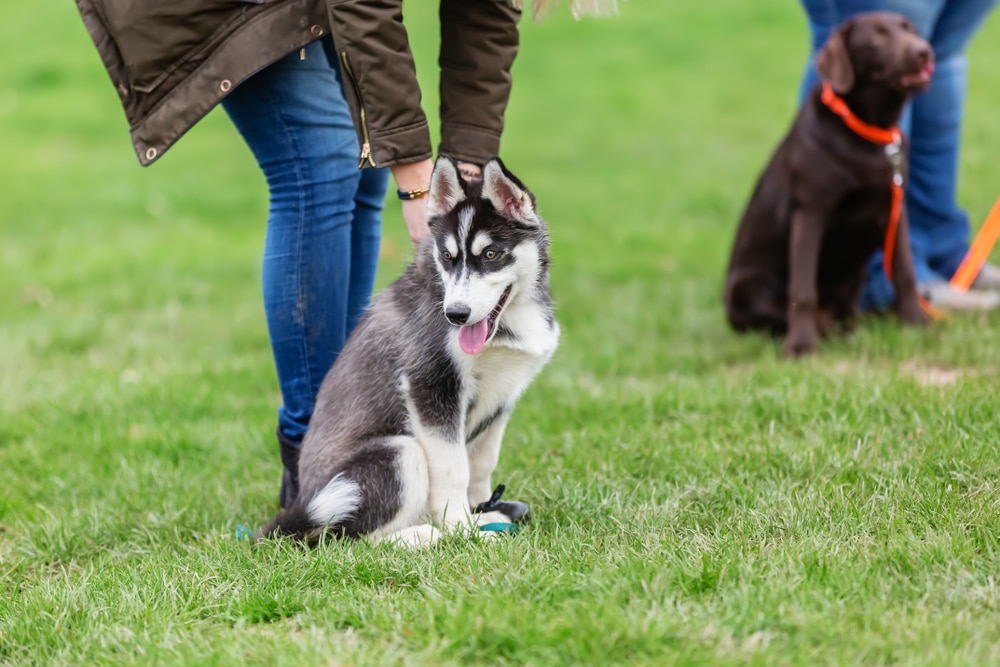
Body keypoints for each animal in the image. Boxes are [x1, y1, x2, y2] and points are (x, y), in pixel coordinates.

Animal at [260, 157, 564, 548]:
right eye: (447, 256)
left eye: (491, 254)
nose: (455, 314)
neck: (509, 320)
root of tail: (295, 511)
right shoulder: (431, 384)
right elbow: (453, 468)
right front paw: (463, 530)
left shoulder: (502, 395)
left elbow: (481, 464)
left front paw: (481, 512)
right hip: (397, 452)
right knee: (348, 538)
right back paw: (423, 535)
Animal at [724, 10, 932, 358]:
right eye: (877, 38)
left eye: (909, 29)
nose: (924, 51)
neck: (869, 131)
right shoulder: (809, 215)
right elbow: (803, 292)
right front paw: (801, 347)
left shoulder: (895, 211)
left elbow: (905, 271)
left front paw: (916, 323)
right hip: (745, 289)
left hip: (855, 274)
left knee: (846, 313)